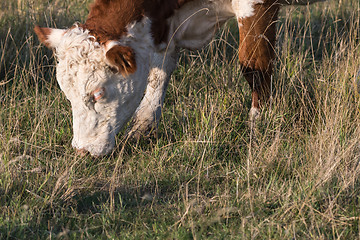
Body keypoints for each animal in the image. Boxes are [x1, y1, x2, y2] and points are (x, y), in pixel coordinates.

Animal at [35, 0, 324, 156]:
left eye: (97, 93)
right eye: (67, 94)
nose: (82, 150)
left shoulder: (256, 7)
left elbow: (254, 65)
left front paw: (258, 123)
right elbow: (158, 76)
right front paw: (142, 128)